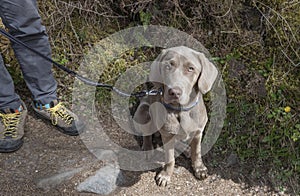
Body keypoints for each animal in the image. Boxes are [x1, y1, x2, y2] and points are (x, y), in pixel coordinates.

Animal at [134, 46, 218, 187]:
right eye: (168, 66)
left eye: (191, 68)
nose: (174, 92)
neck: (182, 111)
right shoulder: (167, 136)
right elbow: (170, 158)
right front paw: (165, 175)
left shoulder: (198, 132)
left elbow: (197, 152)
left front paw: (199, 168)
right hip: (143, 113)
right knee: (147, 134)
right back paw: (148, 148)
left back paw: (187, 149)